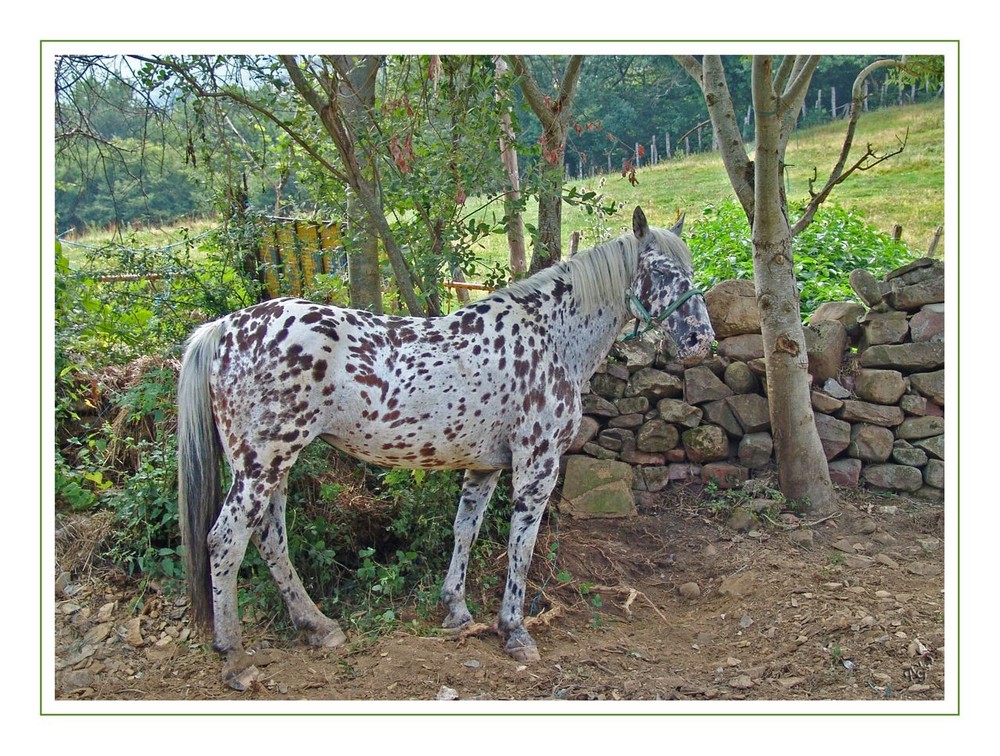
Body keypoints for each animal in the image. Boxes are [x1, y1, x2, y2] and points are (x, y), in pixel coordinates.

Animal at [176, 207, 716, 692]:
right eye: (660, 271)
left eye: (689, 270)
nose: (700, 340)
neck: (550, 338)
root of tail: (225, 329)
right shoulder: (536, 465)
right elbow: (521, 545)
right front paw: (514, 630)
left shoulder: (485, 467)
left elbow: (465, 529)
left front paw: (456, 608)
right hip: (262, 465)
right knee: (226, 542)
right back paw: (235, 658)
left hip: (274, 466)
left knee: (270, 540)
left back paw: (318, 627)